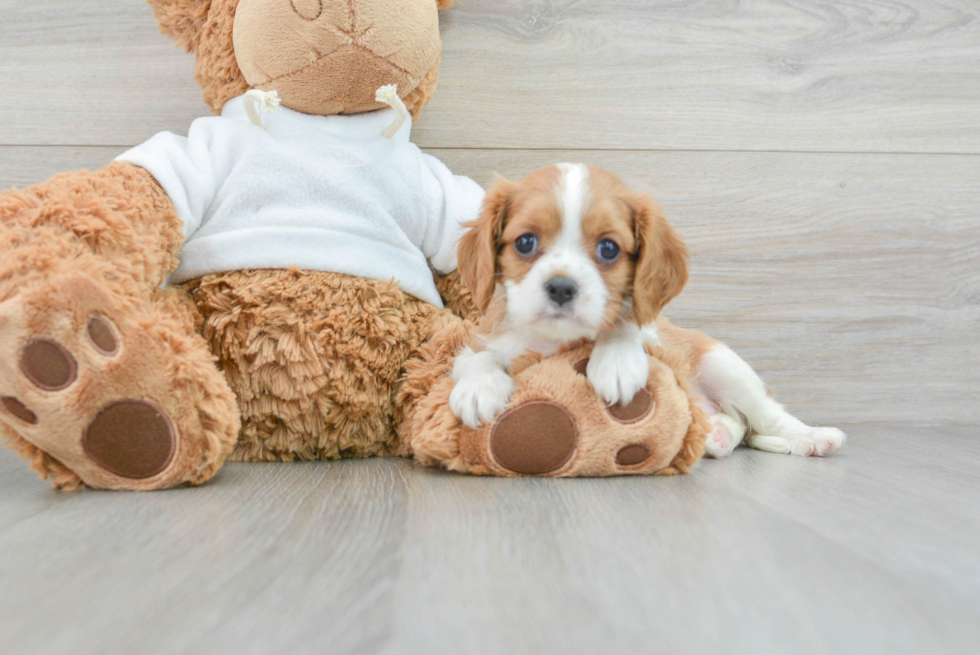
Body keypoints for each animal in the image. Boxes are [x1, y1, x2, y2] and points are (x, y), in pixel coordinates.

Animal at [452, 163, 844, 462]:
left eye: (609, 248)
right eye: (525, 242)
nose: (561, 287)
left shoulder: (655, 333)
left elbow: (629, 326)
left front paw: (616, 363)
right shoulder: (483, 341)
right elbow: (477, 357)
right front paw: (479, 387)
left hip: (724, 365)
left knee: (768, 416)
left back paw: (813, 437)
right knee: (733, 423)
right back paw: (715, 435)